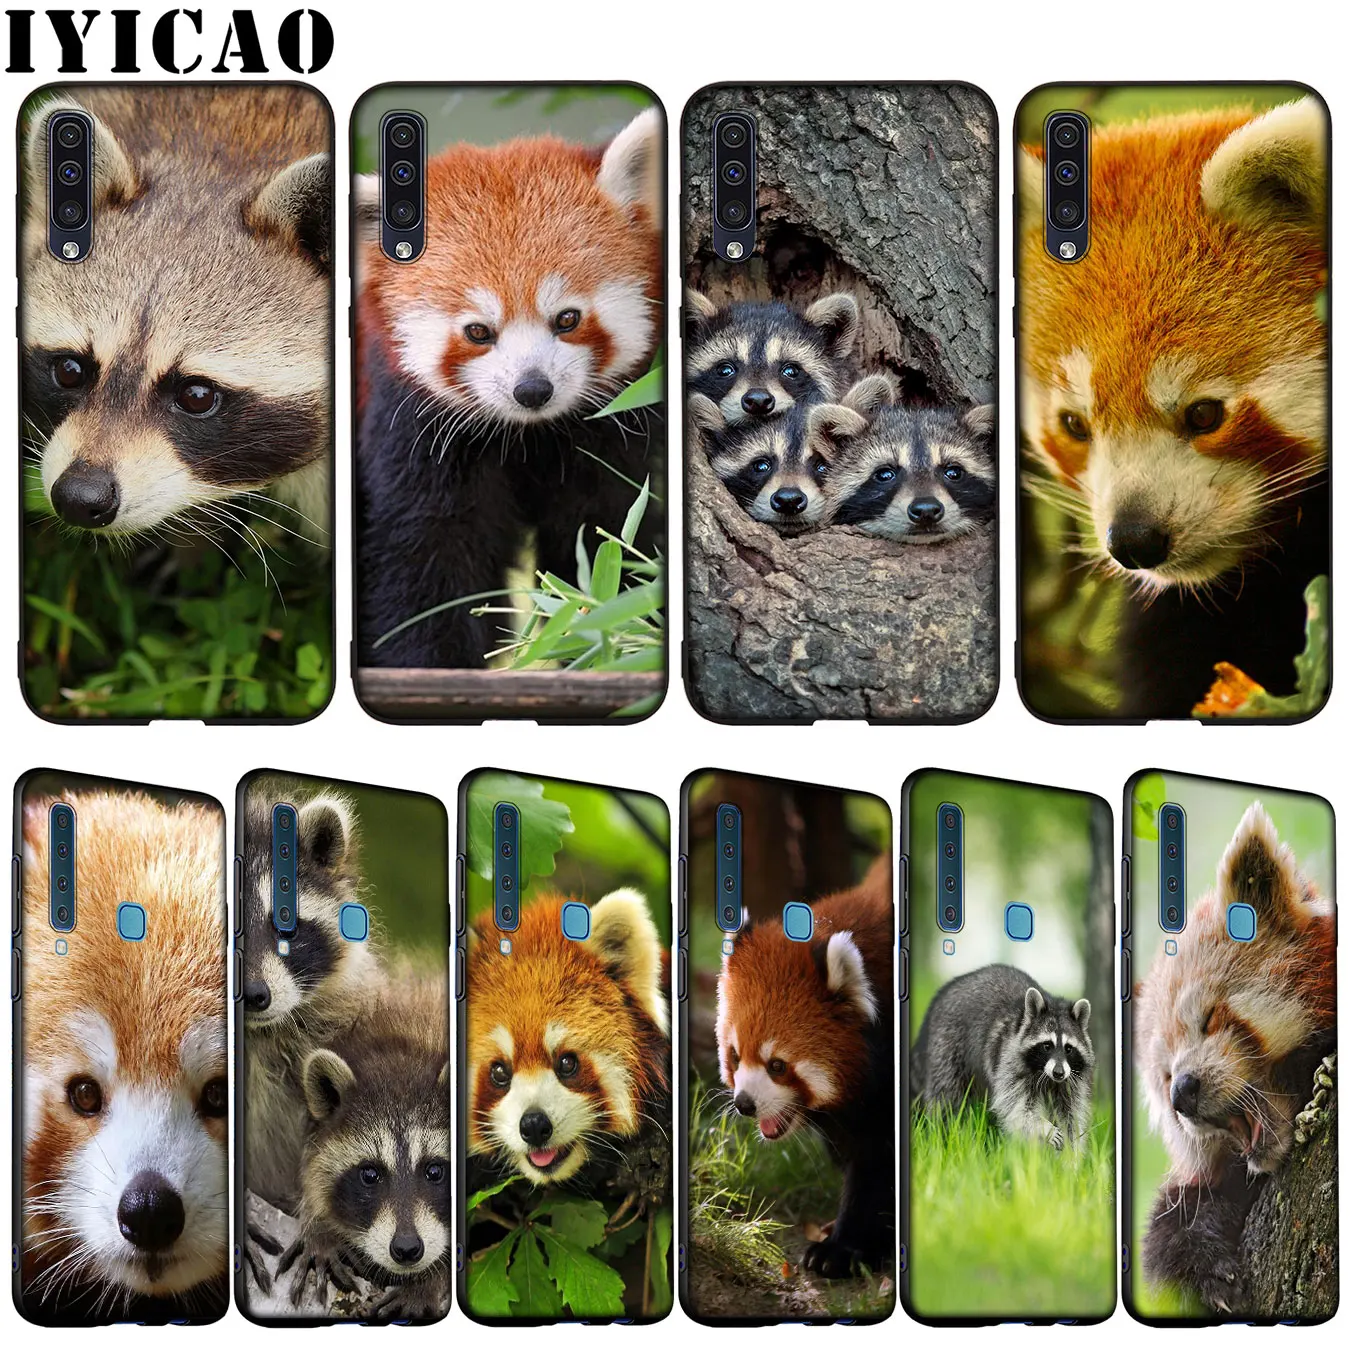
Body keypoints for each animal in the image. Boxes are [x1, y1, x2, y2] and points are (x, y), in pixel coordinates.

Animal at [281, 978, 451, 1321]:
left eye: (434, 1170)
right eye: (370, 1174)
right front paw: (319, 1228)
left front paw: (431, 1279)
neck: (408, 1045)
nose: (407, 1249)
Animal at [912, 964, 1094, 1151]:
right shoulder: (1010, 1060)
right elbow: (1017, 1109)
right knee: (947, 1097)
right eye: (1047, 1046)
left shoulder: (1071, 1078)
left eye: (1068, 1048)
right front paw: (1044, 1128)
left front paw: (1071, 1154)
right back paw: (945, 1133)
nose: (1058, 1072)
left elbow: (1070, 1115)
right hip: (947, 1046)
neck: (1047, 1077)